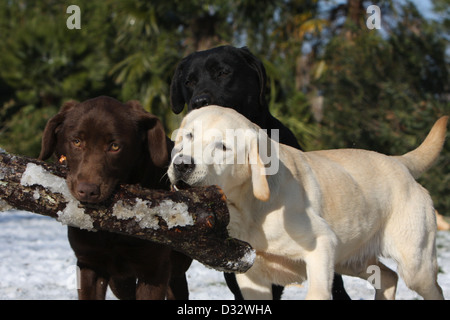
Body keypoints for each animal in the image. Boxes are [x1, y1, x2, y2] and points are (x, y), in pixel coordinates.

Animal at [39, 95, 192, 300]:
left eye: (114, 146)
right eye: (77, 141)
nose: (88, 191)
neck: (112, 232)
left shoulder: (154, 270)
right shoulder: (90, 264)